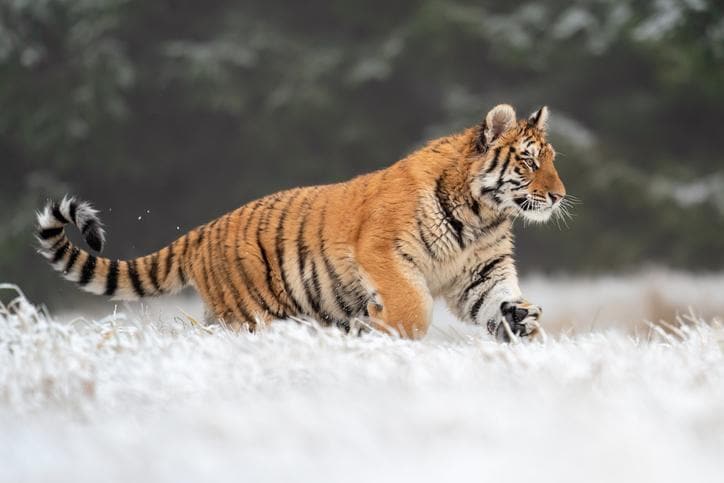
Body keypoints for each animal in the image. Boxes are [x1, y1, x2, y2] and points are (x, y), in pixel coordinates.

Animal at [36, 104, 564, 342]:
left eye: (552, 159)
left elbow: (496, 299)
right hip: (252, 314)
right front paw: (384, 332)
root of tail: (203, 230)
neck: (483, 213)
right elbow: (412, 306)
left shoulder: (481, 273)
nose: (559, 195)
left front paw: (522, 321)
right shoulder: (382, 252)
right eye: (530, 161)